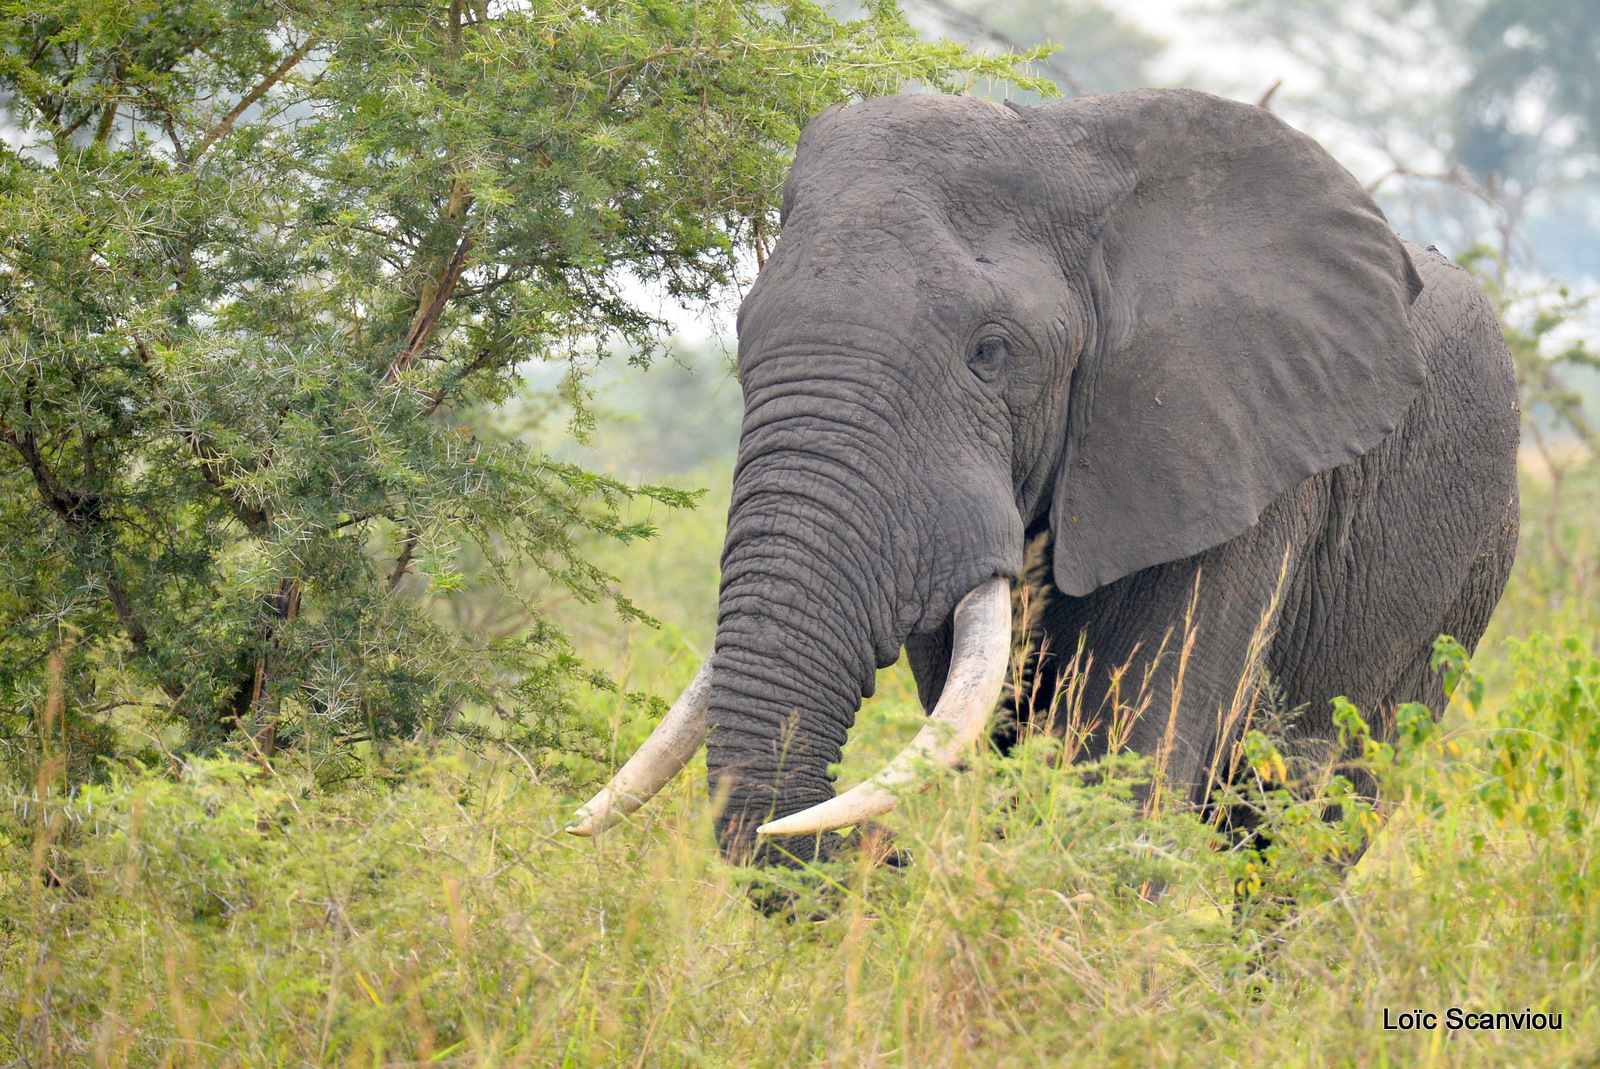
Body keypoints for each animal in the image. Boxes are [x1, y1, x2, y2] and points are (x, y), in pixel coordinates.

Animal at [569, 87, 1516, 864]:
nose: (883, 854)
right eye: (742, 333)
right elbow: (984, 735)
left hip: (1460, 585)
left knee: (1314, 813)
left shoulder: (1241, 455)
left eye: (991, 352)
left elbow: (1127, 754)